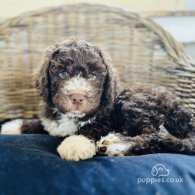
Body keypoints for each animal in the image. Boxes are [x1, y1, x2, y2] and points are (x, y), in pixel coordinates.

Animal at [1, 38, 195, 161]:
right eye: (62, 73)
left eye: (93, 76)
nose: (77, 97)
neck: (72, 117)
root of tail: (189, 121)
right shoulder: (52, 122)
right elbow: (41, 123)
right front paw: (11, 126)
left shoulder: (106, 120)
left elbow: (91, 128)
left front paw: (75, 143)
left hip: (137, 102)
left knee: (153, 134)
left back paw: (119, 145)